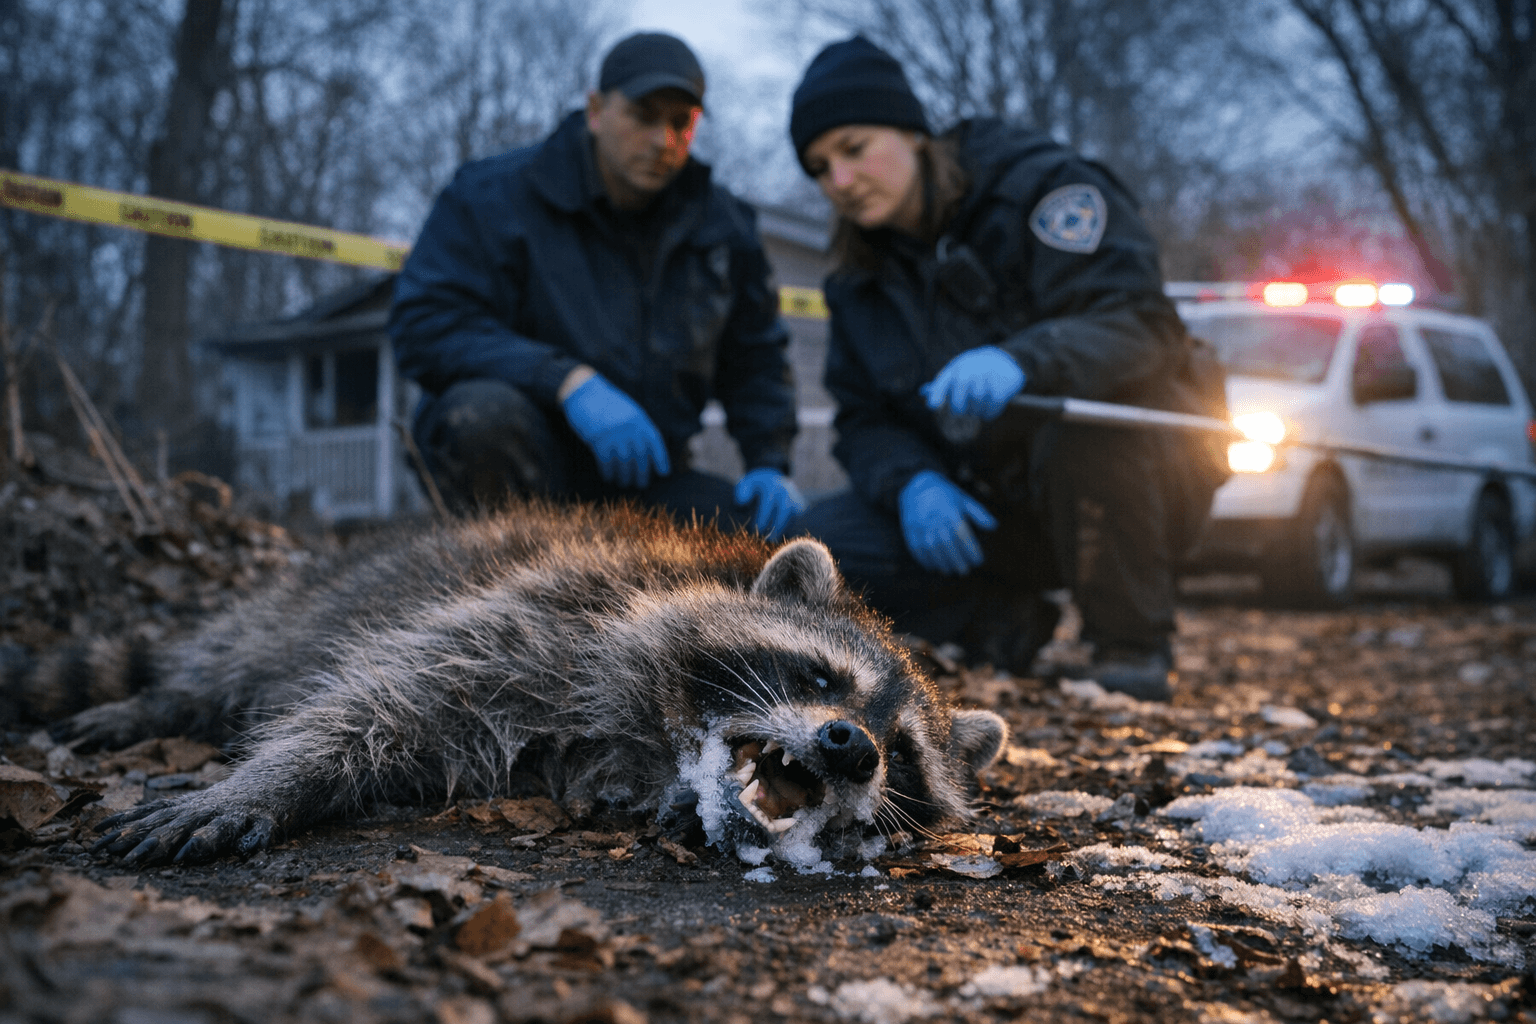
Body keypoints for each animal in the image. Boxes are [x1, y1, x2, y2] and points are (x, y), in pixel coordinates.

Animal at [16, 501, 1006, 868]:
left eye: (903, 754)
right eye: (818, 674)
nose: (852, 746)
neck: (657, 747)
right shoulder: (548, 619)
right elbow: (375, 705)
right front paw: (269, 780)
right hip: (298, 607)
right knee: (225, 660)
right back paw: (157, 702)